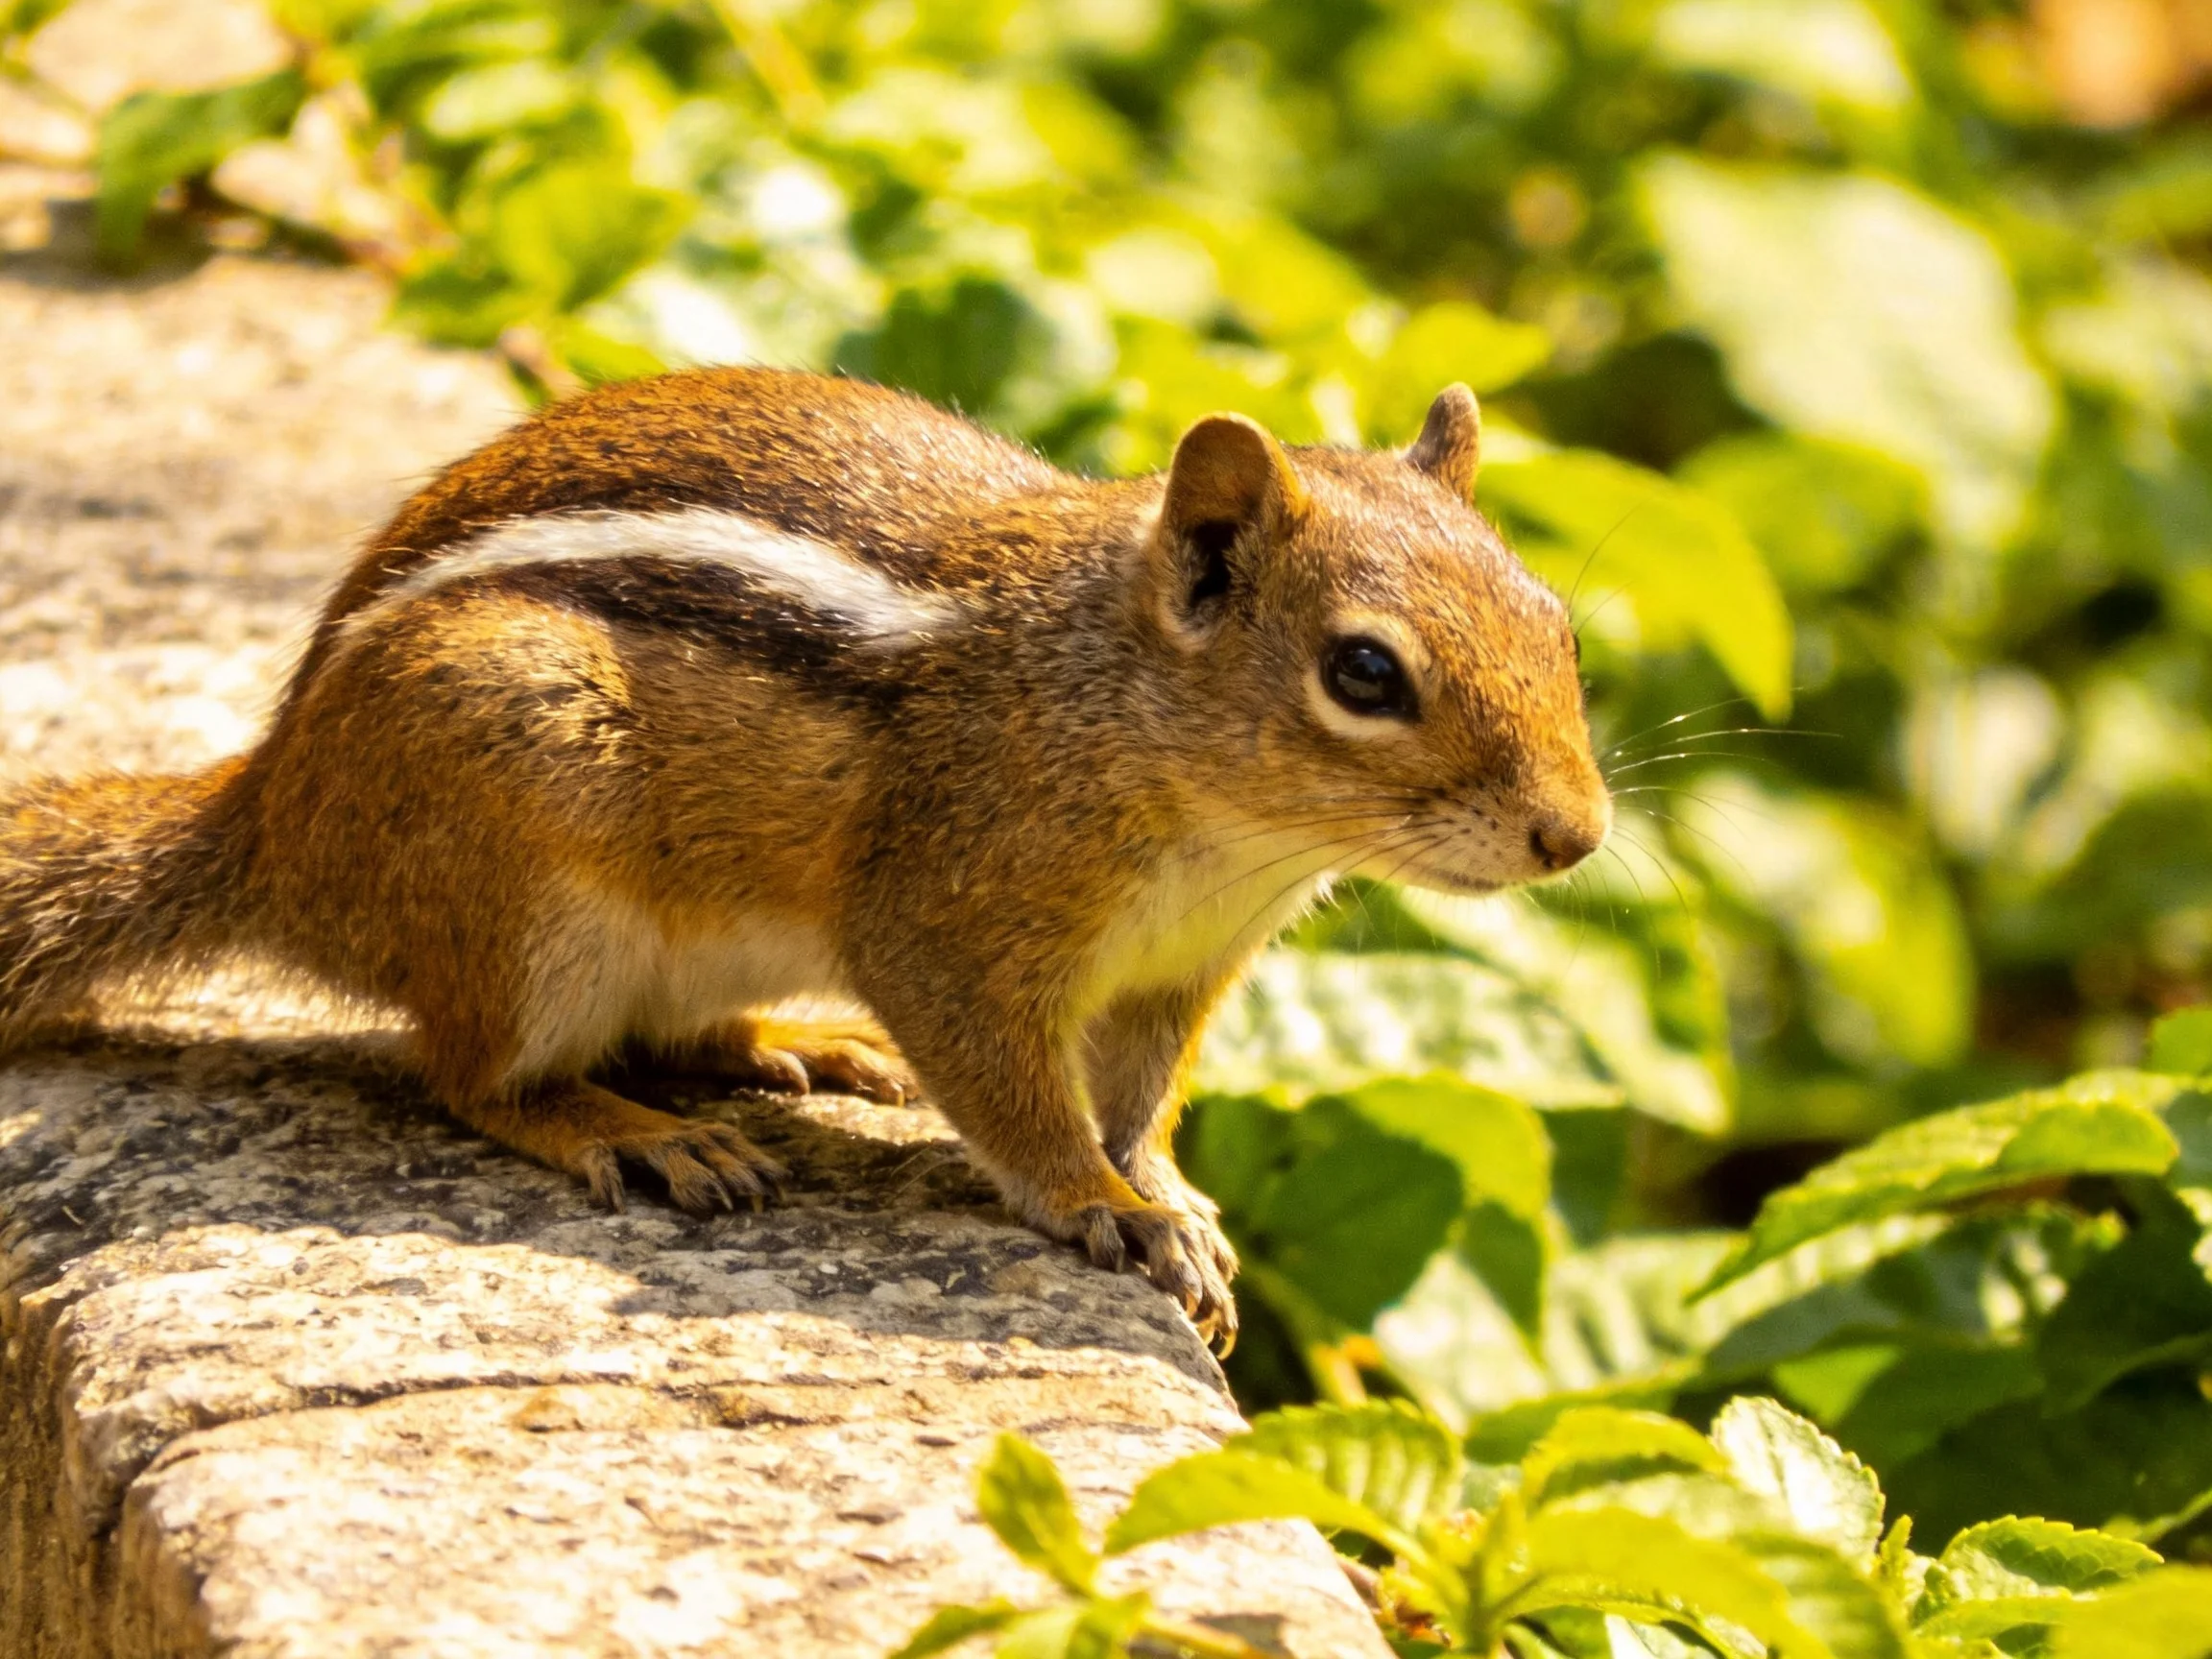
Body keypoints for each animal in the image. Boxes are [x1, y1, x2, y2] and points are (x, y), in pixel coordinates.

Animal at [0, 367, 1609, 1349]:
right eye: (1364, 673)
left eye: (1556, 620)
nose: (1576, 835)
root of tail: (273, 811)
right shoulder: (949, 924)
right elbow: (1022, 1100)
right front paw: (1103, 1206)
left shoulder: (1179, 973)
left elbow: (1142, 1099)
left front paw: (1176, 1204)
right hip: (521, 857)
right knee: (471, 1077)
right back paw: (638, 1133)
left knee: (668, 1032)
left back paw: (797, 1050)